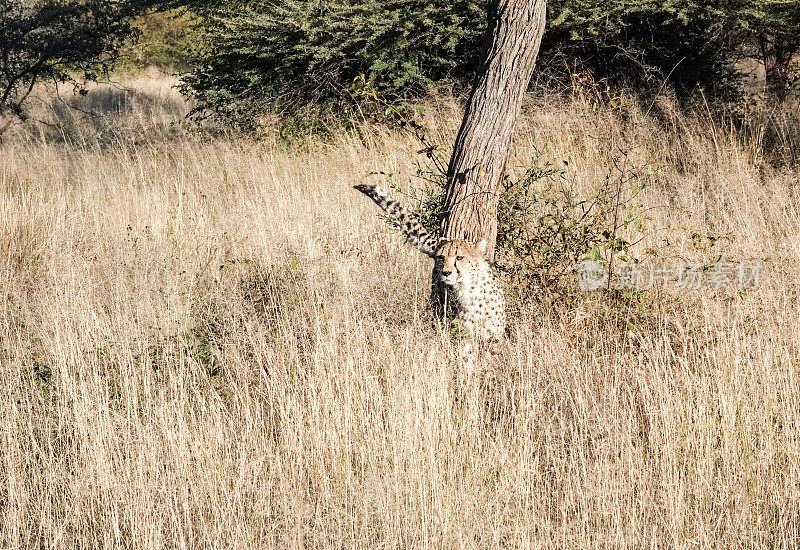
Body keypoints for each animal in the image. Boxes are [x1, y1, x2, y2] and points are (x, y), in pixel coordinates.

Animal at [352, 183, 504, 342]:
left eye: (460, 258)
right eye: (441, 257)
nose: (446, 272)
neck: (468, 288)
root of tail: (442, 239)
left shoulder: (494, 336)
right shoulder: (463, 334)